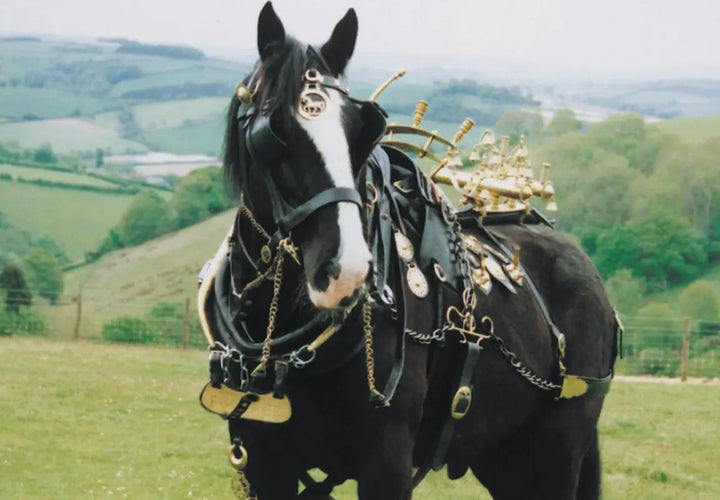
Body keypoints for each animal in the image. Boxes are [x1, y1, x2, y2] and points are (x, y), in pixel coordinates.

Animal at [197, 3, 618, 499]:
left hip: (556, 451)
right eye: (272, 130)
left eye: (364, 130)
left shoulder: (387, 462)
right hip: (503, 457)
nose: (346, 272)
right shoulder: (261, 461)